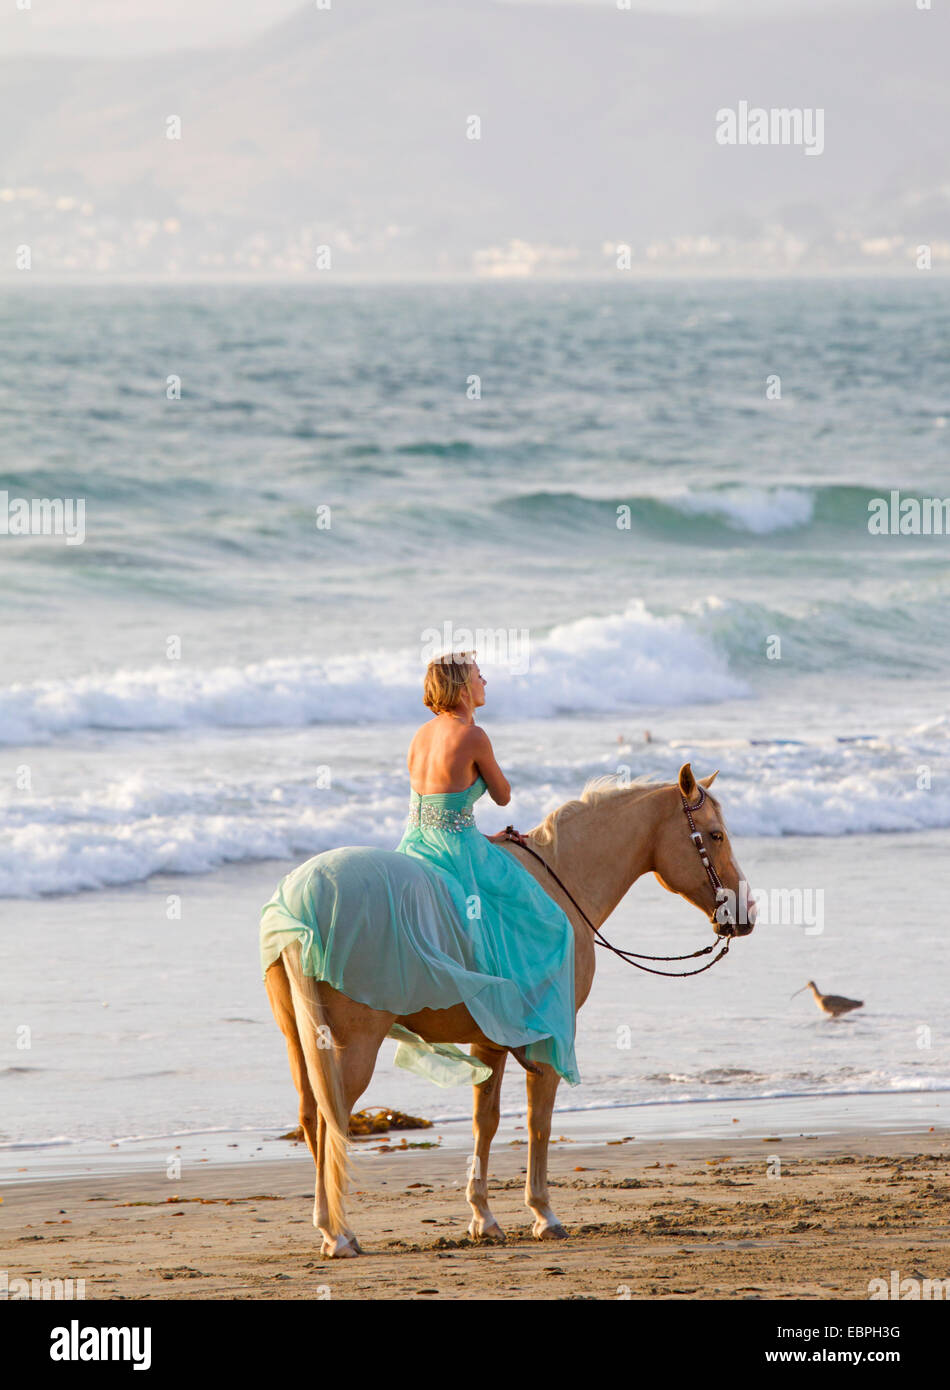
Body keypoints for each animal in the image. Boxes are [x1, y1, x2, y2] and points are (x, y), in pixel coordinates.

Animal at [264, 762, 756, 1257]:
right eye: (714, 835)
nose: (746, 913)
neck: (558, 881)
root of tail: (301, 905)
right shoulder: (549, 1038)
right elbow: (539, 1123)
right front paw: (543, 1213)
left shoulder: (489, 1041)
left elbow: (485, 1122)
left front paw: (483, 1217)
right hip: (353, 1047)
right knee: (332, 1119)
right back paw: (337, 1233)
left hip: (298, 1042)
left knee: (312, 1117)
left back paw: (334, 1226)